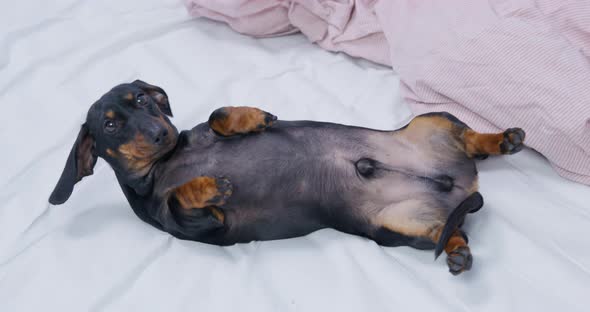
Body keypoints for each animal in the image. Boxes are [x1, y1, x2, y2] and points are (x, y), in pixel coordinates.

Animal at [47, 80, 528, 276]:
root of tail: (462, 185)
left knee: (469, 139)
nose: (159, 133)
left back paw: (502, 139)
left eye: (144, 99)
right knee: (453, 231)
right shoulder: (201, 225)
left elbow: (216, 114)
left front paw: (251, 118)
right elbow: (182, 200)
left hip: (433, 120)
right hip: (395, 227)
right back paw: (458, 251)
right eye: (110, 125)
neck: (168, 163)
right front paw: (209, 184)